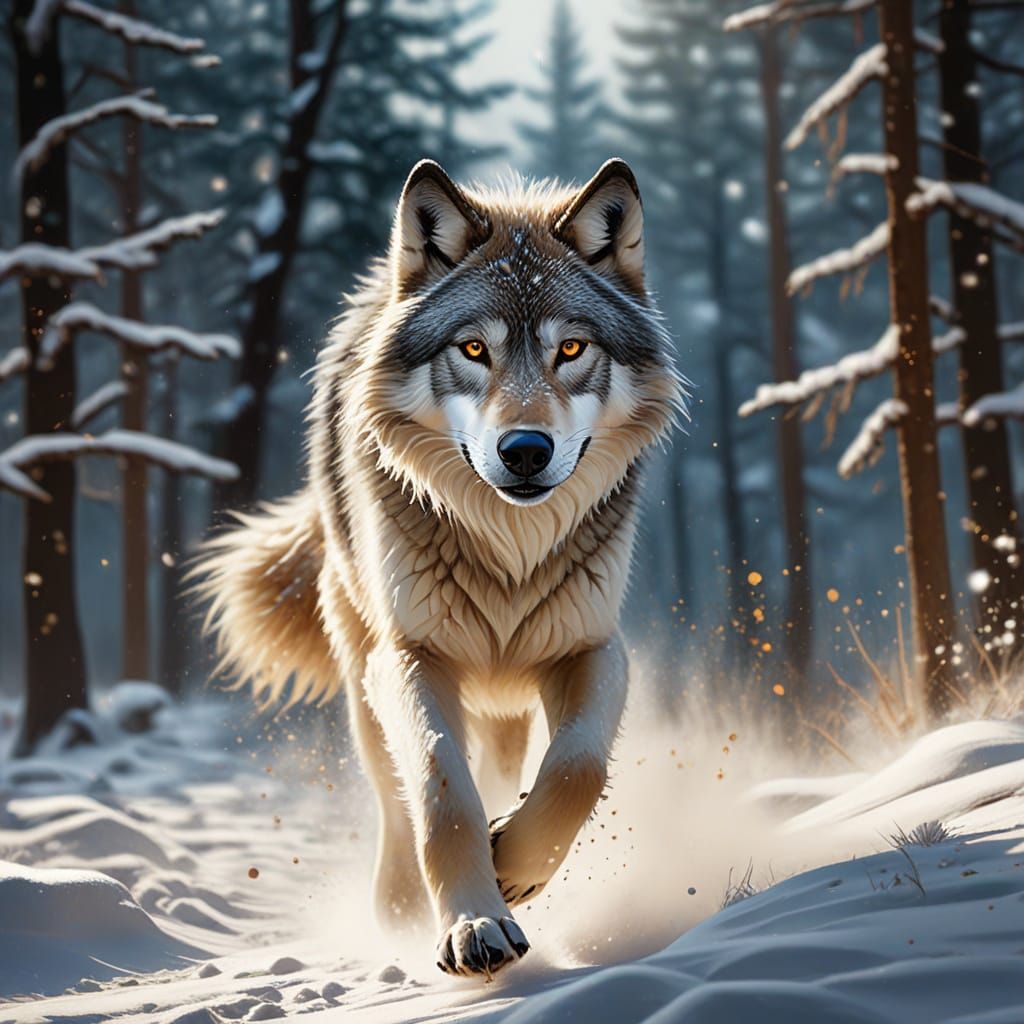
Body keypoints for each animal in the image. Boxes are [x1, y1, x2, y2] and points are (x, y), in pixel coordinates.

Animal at [198, 158, 684, 977]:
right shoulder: (412, 656)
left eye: (572, 350)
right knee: (394, 796)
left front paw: (512, 861)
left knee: (510, 764)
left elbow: (577, 769)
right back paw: (397, 910)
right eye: (474, 350)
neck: (509, 548)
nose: (525, 451)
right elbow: (437, 781)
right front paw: (474, 923)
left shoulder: (591, 646)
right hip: (363, 673)